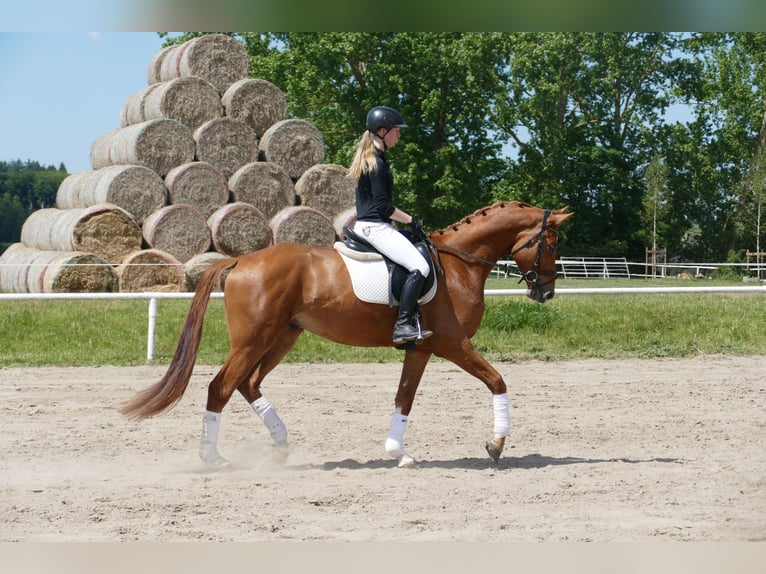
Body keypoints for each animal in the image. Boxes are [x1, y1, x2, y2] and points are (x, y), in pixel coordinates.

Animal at [121, 200, 573, 468]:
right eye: (550, 242)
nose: (546, 291)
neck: (459, 264)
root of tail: (242, 259)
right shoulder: (451, 342)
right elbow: (498, 380)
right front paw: (496, 445)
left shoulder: (421, 348)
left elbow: (404, 398)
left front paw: (398, 453)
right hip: (254, 339)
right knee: (221, 387)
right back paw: (213, 457)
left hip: (282, 337)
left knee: (248, 384)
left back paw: (281, 444)